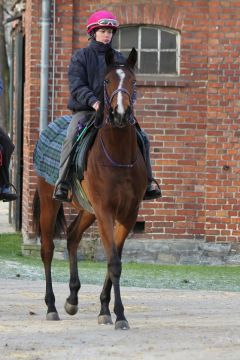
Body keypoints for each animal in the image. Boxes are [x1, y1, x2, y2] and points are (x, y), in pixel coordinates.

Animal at [32, 47, 148, 330]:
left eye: (133, 82)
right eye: (107, 81)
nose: (120, 114)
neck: (118, 155)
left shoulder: (128, 214)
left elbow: (113, 259)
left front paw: (105, 310)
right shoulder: (105, 210)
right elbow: (113, 262)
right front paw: (120, 315)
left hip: (87, 209)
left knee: (73, 236)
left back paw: (72, 299)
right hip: (50, 202)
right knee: (47, 249)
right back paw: (51, 306)